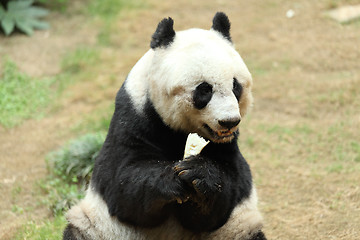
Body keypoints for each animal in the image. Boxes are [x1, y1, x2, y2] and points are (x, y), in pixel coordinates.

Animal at [63, 12, 266, 240]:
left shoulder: (228, 145)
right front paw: (171, 178)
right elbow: (122, 180)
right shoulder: (131, 117)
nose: (229, 121)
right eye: (204, 90)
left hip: (237, 229)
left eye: (235, 86)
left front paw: (198, 173)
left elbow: (227, 188)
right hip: (98, 227)